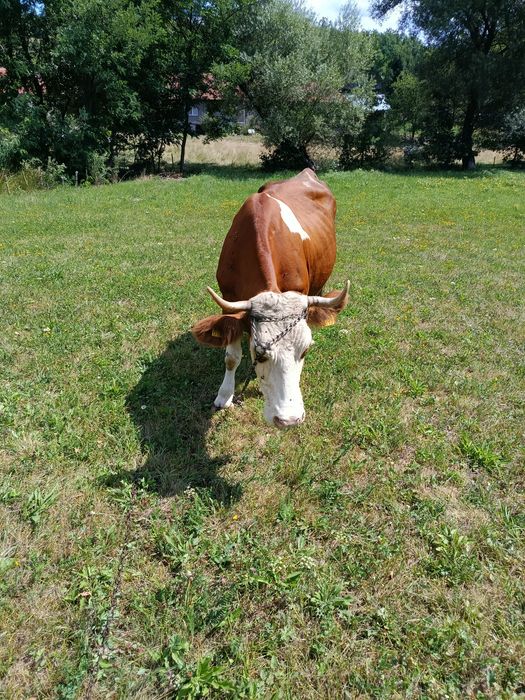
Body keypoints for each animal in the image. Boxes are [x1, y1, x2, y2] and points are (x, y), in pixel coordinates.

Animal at [192, 168, 348, 428]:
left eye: (305, 351)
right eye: (260, 353)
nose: (289, 420)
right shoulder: (228, 302)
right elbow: (231, 357)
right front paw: (225, 395)